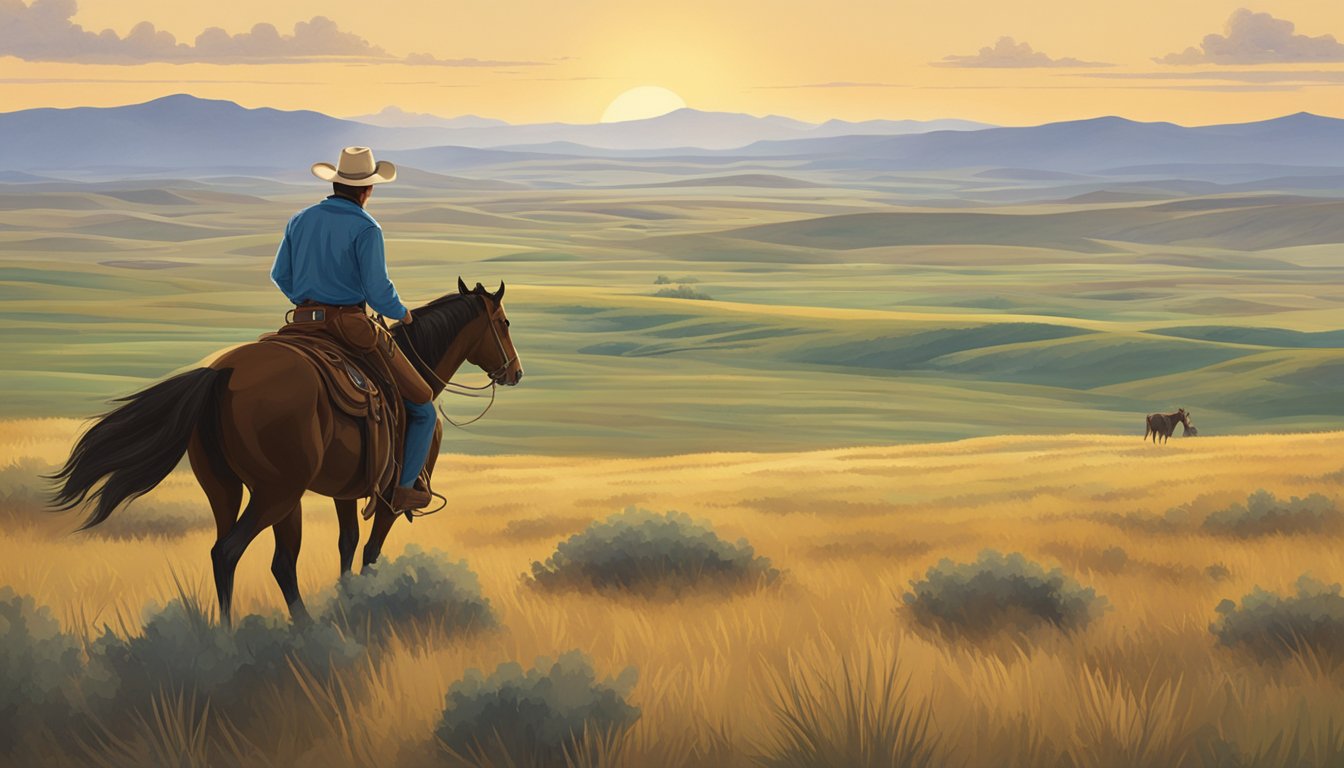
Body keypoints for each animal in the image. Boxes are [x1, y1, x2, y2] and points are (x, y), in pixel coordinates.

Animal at [47, 277, 521, 624]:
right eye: (503, 322)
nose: (515, 372)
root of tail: (222, 373)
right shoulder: (389, 497)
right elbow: (370, 553)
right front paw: (364, 602)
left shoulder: (347, 491)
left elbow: (346, 544)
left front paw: (346, 599)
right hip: (279, 493)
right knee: (236, 553)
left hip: (228, 489)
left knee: (255, 557)